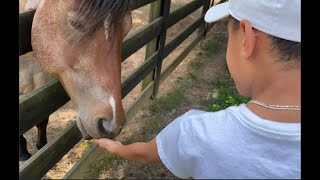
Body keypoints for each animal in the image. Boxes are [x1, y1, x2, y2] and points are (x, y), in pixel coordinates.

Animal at [19, 0, 132, 160]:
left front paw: (41, 147)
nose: (111, 125)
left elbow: (42, 120)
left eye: (127, 28)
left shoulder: (41, 85)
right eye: (75, 23)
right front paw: (23, 154)